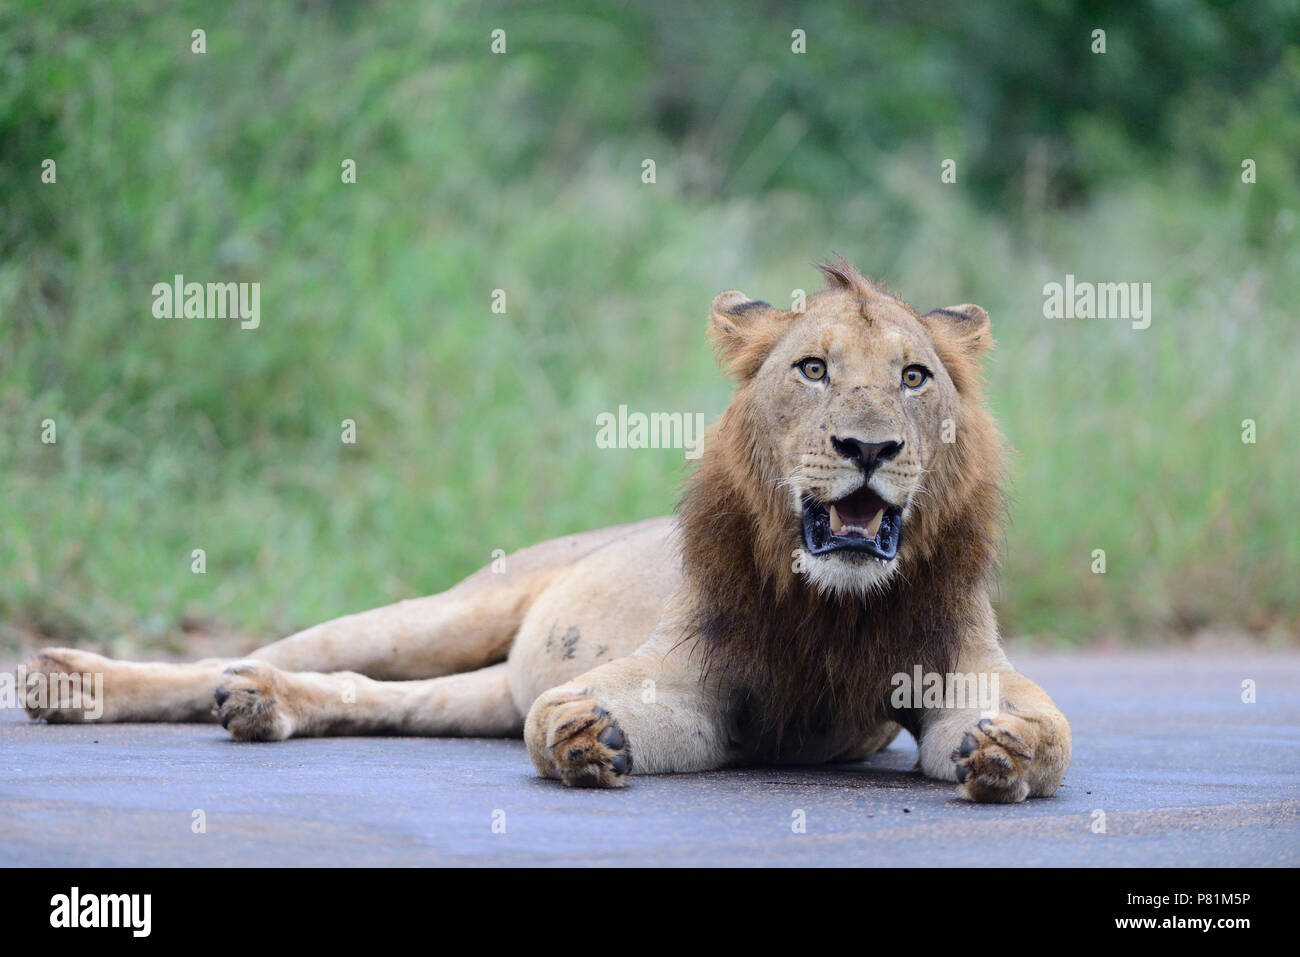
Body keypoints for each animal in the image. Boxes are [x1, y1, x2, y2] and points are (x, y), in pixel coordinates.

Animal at [23, 260, 1071, 803]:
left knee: (371, 695)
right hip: (449, 612)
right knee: (258, 655)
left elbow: (1046, 729)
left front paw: (1010, 750)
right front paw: (578, 733)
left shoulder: (952, 665)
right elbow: (575, 715)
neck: (835, 605)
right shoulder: (699, 685)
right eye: (812, 369)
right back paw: (70, 680)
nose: (869, 446)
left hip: (473, 688)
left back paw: (262, 704)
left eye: (914, 377)